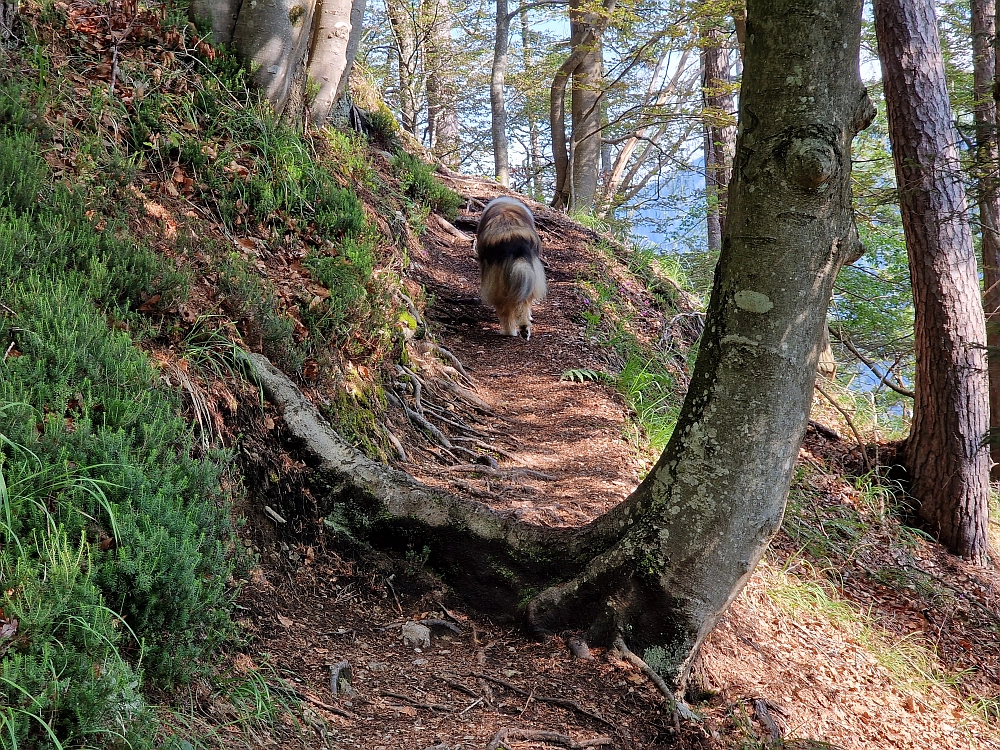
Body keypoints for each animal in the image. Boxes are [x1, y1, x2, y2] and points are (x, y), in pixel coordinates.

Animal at [474, 195, 548, 340]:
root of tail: (513, 237)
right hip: (528, 276)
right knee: (523, 303)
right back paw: (524, 329)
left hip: (498, 285)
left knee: (506, 311)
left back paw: (509, 332)